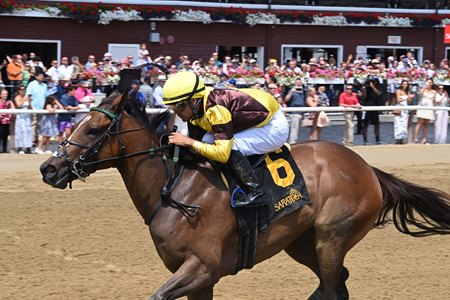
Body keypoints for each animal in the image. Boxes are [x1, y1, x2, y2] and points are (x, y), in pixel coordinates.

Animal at [40, 92, 448, 298]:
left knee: (333, 288)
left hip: (332, 238)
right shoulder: (199, 278)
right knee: (334, 285)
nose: (49, 169)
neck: (174, 190)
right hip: (303, 243)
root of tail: (367, 168)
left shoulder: (202, 268)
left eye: (94, 129)